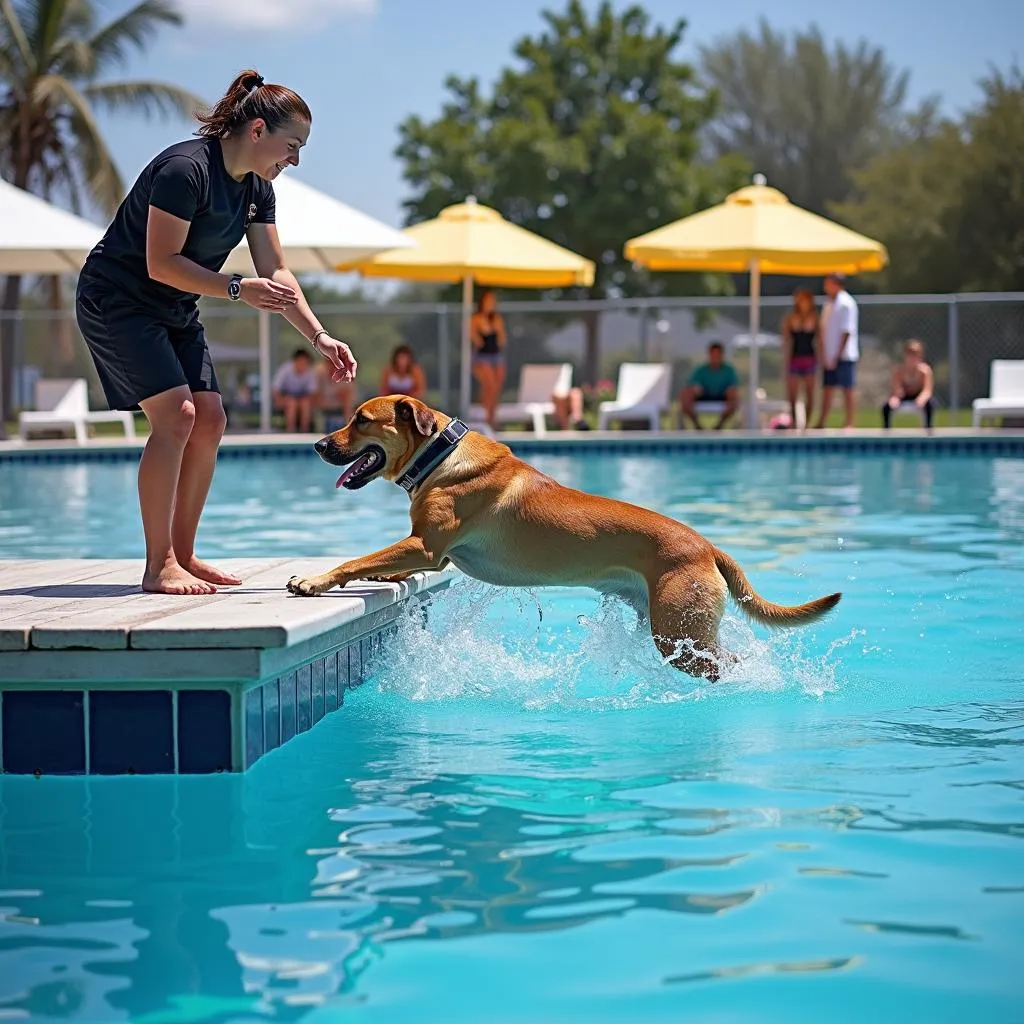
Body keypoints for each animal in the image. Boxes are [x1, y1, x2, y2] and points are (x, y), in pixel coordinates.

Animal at [286, 397, 839, 679]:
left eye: (360, 421)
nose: (317, 445)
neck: (440, 456)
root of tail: (707, 546)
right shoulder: (422, 549)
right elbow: (376, 561)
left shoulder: (426, 546)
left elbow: (360, 558)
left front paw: (313, 581)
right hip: (669, 625)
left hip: (679, 634)